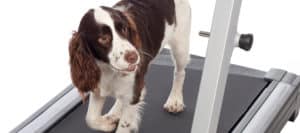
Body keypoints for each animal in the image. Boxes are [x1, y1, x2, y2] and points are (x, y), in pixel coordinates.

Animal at [68, 0, 190, 132]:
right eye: (103, 38)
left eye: (124, 29)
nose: (134, 57)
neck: (108, 69)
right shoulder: (97, 86)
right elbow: (90, 119)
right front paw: (107, 123)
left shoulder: (135, 92)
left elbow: (124, 125)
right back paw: (113, 114)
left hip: (180, 47)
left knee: (180, 72)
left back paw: (175, 100)